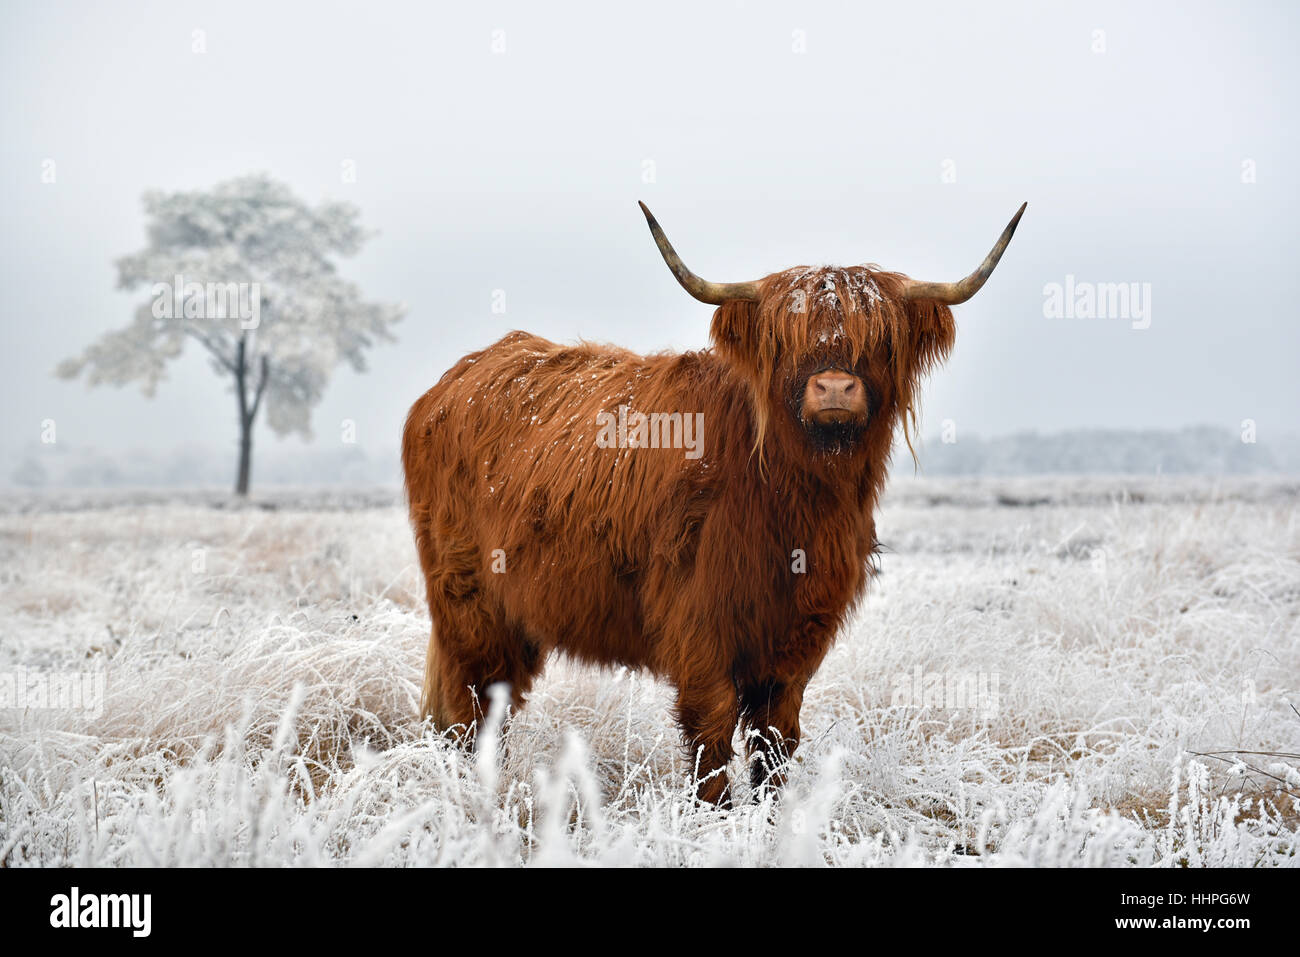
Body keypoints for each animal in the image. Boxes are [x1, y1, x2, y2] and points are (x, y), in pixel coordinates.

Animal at [403, 200, 1024, 800]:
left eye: (879, 340)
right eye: (784, 341)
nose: (834, 388)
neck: (794, 502)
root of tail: (456, 379)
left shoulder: (798, 636)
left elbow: (776, 739)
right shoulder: (698, 624)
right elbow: (713, 733)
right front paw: (716, 816)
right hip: (469, 603)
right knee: (470, 705)